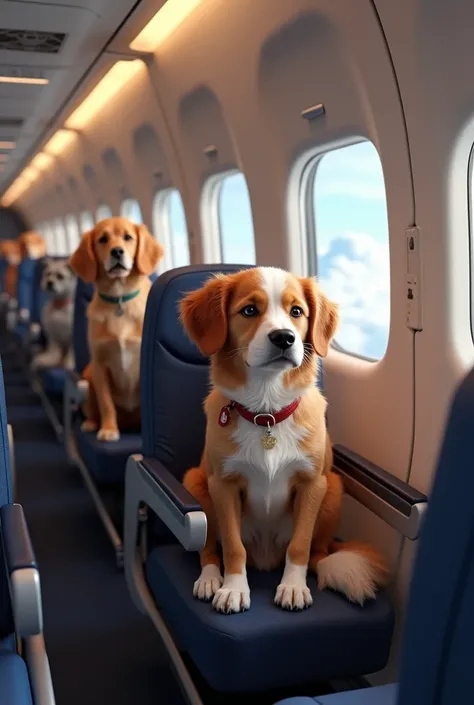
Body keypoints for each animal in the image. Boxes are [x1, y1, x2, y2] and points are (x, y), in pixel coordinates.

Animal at [69, 217, 163, 442]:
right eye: (102, 239)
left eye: (128, 237)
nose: (117, 251)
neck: (119, 299)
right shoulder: (100, 364)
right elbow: (106, 404)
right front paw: (109, 429)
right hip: (88, 375)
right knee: (94, 409)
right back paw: (92, 423)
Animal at [180, 266, 386, 612]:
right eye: (250, 310)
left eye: (297, 312)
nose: (284, 337)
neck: (267, 413)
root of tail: (265, 558)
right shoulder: (223, 485)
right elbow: (232, 547)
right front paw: (234, 588)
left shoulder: (312, 484)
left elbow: (300, 546)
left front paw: (292, 587)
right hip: (195, 482)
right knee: (208, 550)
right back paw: (209, 579)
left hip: (334, 488)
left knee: (317, 554)